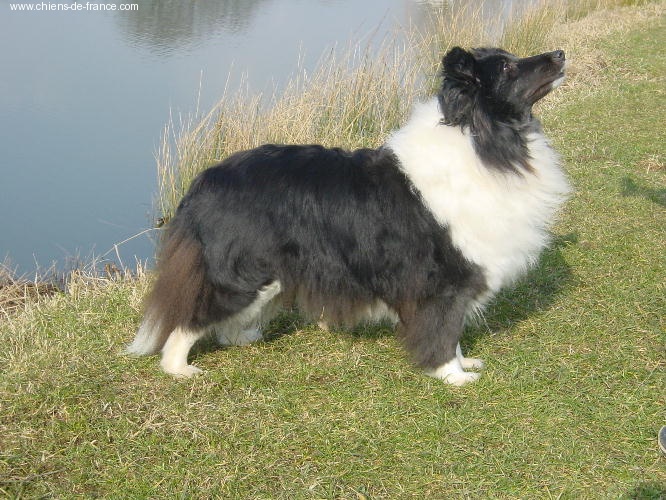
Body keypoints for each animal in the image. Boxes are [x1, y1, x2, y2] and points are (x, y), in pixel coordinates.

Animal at [127, 47, 568, 384]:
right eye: (507, 68)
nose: (560, 54)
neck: (482, 140)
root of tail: (203, 181)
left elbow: (452, 329)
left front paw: (464, 363)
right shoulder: (441, 278)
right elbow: (444, 328)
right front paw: (453, 376)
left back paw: (243, 337)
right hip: (245, 273)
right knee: (189, 318)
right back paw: (179, 368)